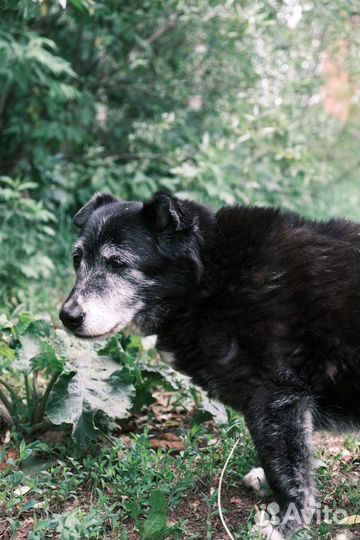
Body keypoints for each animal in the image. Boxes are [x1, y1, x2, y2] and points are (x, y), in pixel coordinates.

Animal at [59, 192, 360, 536]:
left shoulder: (277, 399)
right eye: (77, 259)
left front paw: (287, 523)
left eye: (118, 264)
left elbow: (287, 471)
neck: (209, 280)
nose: (67, 316)